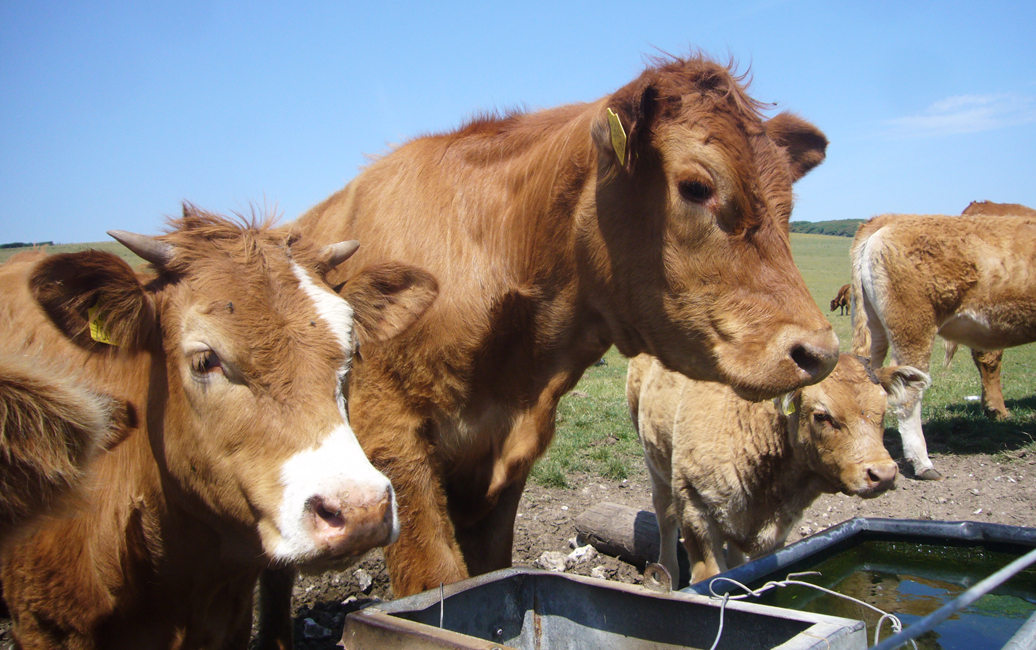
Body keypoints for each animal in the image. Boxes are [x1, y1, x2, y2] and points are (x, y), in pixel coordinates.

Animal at [285, 53, 839, 599]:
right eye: (697, 187)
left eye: (788, 204)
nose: (821, 352)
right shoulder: (391, 439)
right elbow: (436, 581)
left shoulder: (506, 465)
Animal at [628, 353, 929, 585]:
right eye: (822, 416)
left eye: (883, 410)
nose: (883, 474)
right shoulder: (695, 512)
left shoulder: (778, 531)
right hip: (656, 464)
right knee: (665, 519)